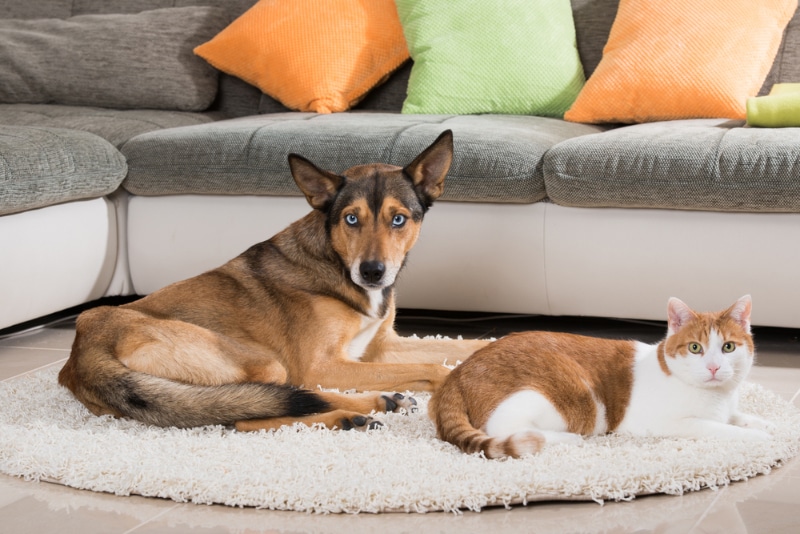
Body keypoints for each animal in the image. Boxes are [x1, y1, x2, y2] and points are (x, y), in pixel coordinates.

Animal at [57, 132, 488, 434]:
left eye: (399, 219)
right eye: (351, 218)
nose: (372, 272)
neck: (334, 263)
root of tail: (83, 348)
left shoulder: (380, 348)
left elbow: (462, 348)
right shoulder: (323, 364)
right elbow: (435, 368)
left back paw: (376, 405)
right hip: (264, 363)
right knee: (256, 410)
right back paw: (353, 414)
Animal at [432, 298, 776, 460]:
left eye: (728, 347)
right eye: (695, 348)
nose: (714, 367)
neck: (717, 396)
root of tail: (458, 370)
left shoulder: (728, 406)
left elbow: (739, 417)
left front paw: (769, 425)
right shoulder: (667, 424)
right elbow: (721, 428)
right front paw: (760, 436)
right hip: (563, 398)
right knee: (506, 429)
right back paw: (570, 439)